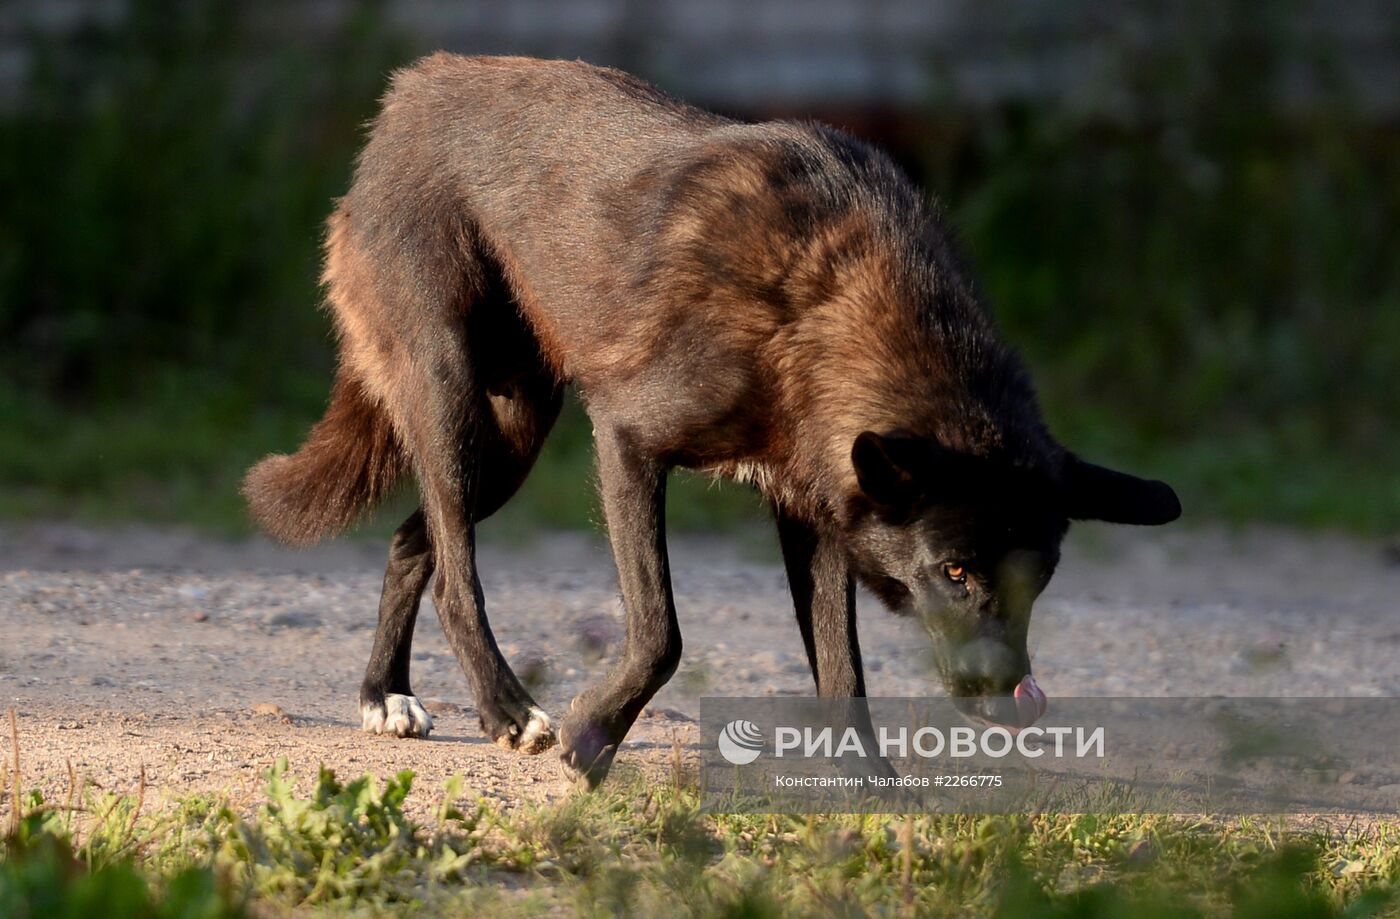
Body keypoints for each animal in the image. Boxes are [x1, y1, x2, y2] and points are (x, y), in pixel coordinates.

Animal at [243, 53, 1181, 784]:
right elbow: (662, 632)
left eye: (1039, 577)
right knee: (454, 573)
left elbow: (842, 672)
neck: (823, 304)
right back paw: (506, 707)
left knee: (415, 542)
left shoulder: (816, 512)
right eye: (953, 572)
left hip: (510, 438)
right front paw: (590, 740)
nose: (1017, 708)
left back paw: (384, 696)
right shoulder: (627, 443)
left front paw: (872, 789)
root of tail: (416, 86)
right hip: (451, 401)